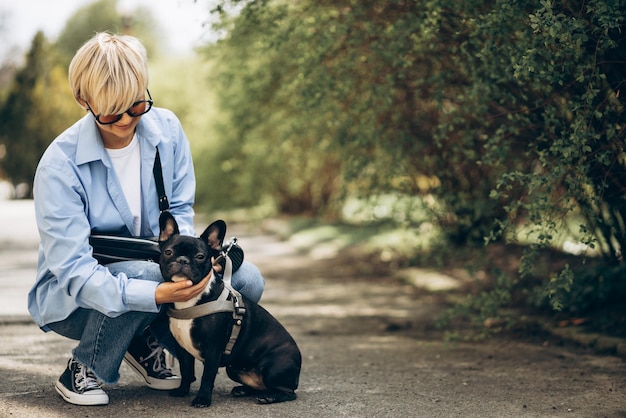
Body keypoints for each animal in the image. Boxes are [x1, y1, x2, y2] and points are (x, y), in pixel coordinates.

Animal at [157, 211, 302, 406]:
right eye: (168, 252)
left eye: (200, 256)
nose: (182, 260)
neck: (191, 301)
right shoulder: (182, 348)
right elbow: (186, 371)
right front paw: (182, 391)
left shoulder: (213, 349)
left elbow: (207, 376)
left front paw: (202, 399)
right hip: (234, 369)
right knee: (259, 386)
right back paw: (243, 390)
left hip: (274, 367)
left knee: (288, 392)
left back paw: (269, 397)